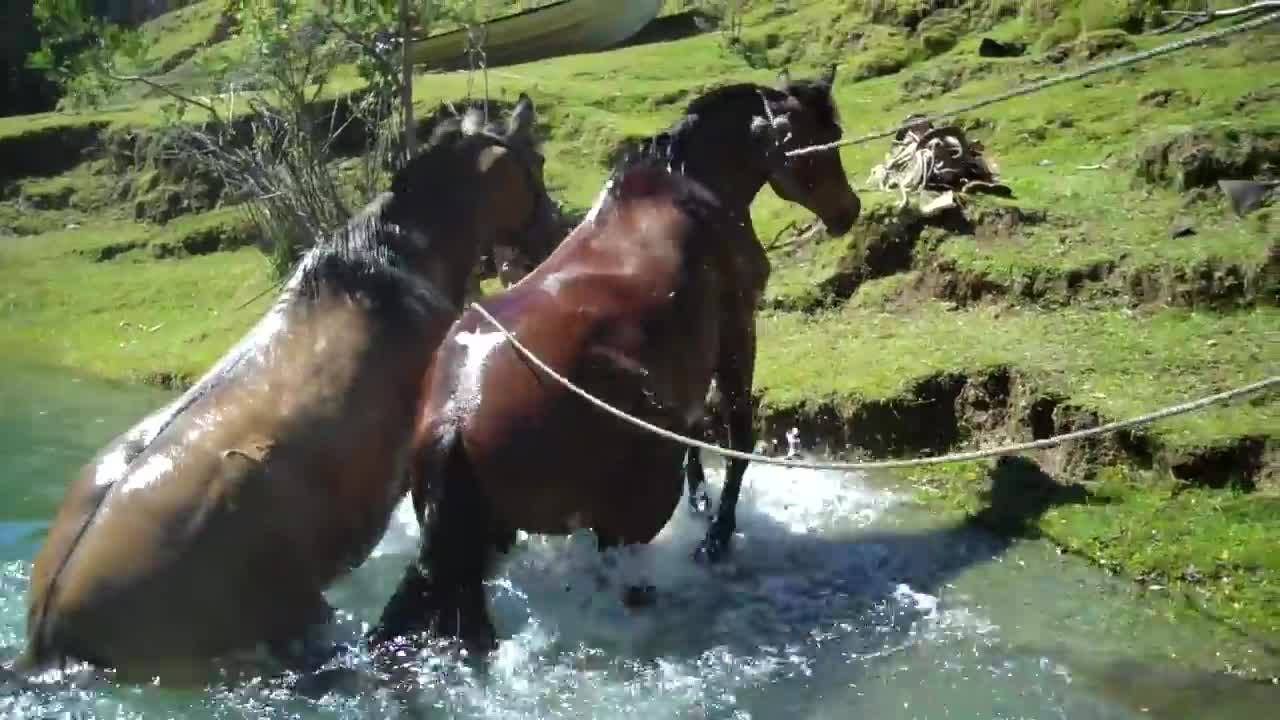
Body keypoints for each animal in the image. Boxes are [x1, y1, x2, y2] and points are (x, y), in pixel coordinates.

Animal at [371, 70, 865, 653]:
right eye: (820, 143)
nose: (849, 211)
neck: (687, 190)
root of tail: (454, 421)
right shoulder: (736, 331)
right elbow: (737, 437)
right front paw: (716, 537)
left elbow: (697, 437)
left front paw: (701, 503)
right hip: (622, 515)